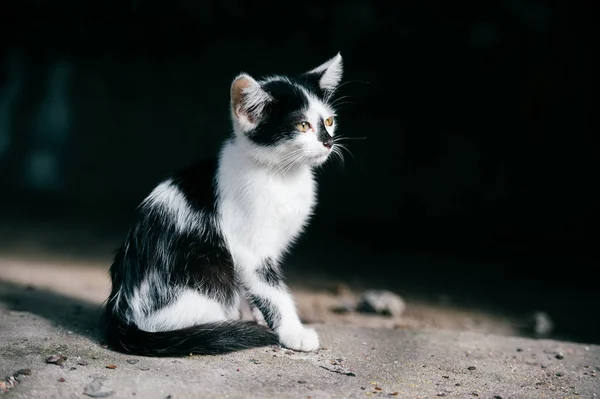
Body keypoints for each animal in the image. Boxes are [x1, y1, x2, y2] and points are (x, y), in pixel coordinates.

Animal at [102, 53, 346, 356]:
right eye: (302, 125)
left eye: (329, 120)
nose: (328, 142)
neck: (282, 176)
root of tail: (120, 308)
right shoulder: (251, 249)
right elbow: (273, 291)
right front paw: (293, 332)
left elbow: (255, 287)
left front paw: (255, 315)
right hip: (203, 274)